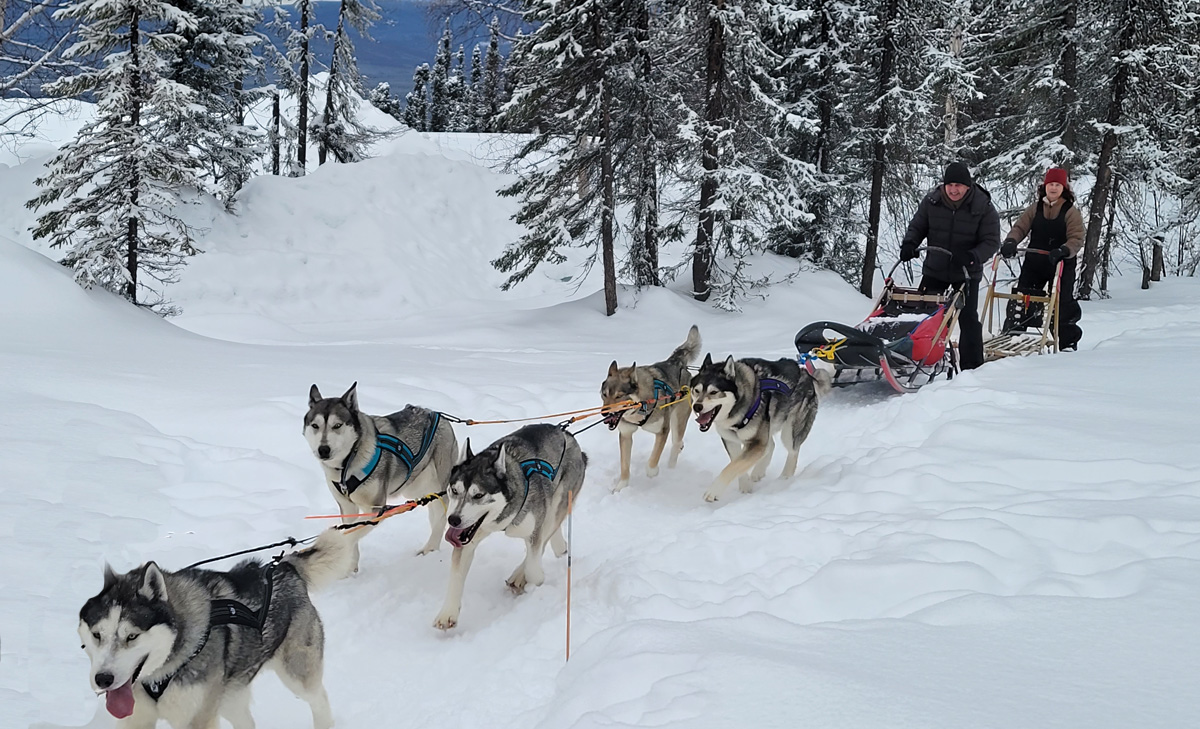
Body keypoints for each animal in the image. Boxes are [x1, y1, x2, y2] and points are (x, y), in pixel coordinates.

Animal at [79, 527, 369, 729]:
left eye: (132, 636)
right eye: (97, 635)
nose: (103, 679)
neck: (162, 670)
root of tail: (283, 567)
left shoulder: (197, 719)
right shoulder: (136, 718)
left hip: (297, 674)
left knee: (318, 698)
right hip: (229, 696)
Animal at [691, 352, 830, 501]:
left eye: (713, 392)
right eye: (696, 390)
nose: (697, 406)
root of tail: (805, 373)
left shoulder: (756, 442)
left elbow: (732, 466)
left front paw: (714, 491)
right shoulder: (730, 439)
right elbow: (736, 462)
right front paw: (745, 486)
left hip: (789, 431)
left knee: (792, 451)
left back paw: (784, 479)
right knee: (771, 445)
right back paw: (758, 472)